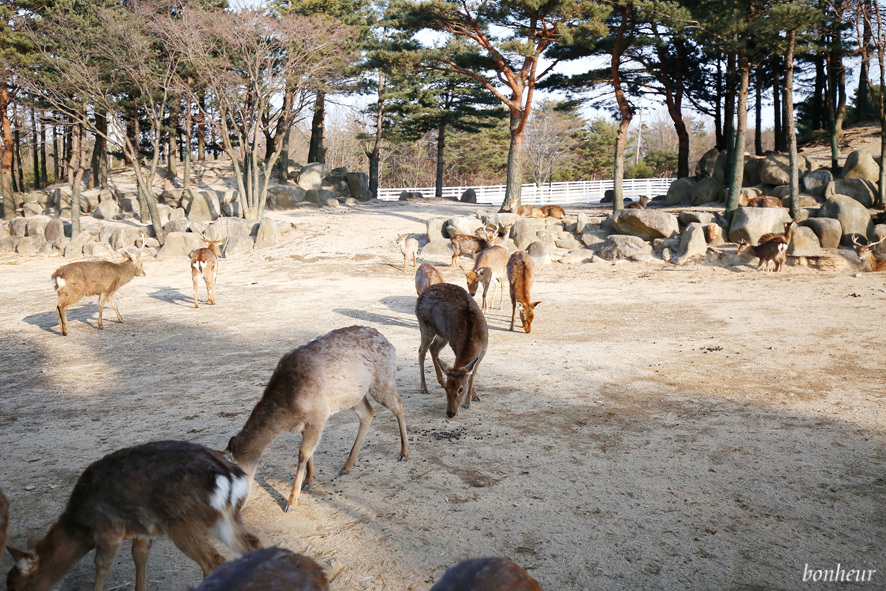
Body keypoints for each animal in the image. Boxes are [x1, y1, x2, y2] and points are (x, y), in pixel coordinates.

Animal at [6, 440, 264, 591]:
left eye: (16, 586)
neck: (81, 526)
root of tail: (231, 475)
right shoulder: (143, 530)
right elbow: (139, 557)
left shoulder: (109, 530)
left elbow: (101, 566)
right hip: (225, 517)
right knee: (252, 544)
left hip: (183, 522)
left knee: (214, 560)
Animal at [227, 324, 412, 512]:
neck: (289, 409)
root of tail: (388, 342)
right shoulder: (307, 423)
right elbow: (309, 452)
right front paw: (309, 481)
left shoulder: (318, 416)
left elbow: (303, 453)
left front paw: (291, 502)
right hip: (353, 396)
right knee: (368, 413)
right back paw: (347, 466)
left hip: (383, 381)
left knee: (398, 403)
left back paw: (404, 453)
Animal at [414, 284, 490, 418]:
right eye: (447, 389)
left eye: (461, 389)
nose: (450, 413)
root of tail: (421, 293)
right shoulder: (454, 345)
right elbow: (469, 373)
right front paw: (468, 401)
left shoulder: (483, 352)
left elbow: (472, 374)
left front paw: (473, 398)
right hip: (425, 325)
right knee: (421, 352)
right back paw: (424, 388)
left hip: (442, 334)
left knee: (433, 348)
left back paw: (440, 381)